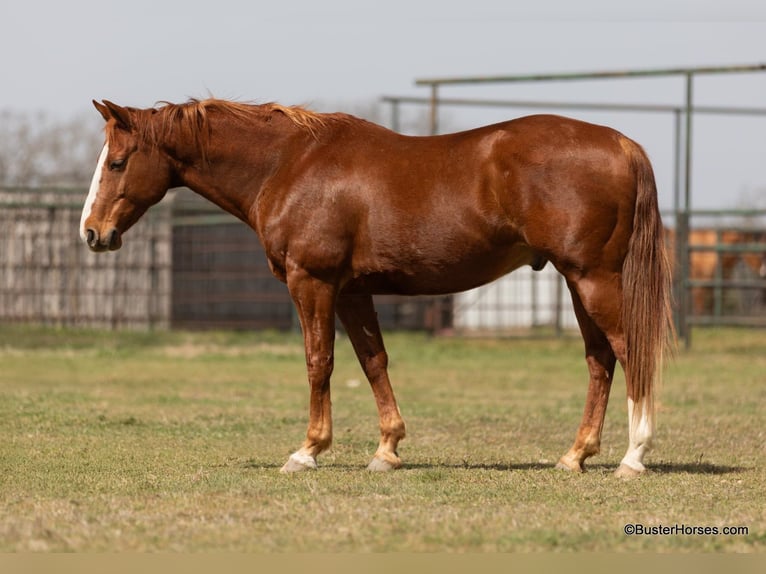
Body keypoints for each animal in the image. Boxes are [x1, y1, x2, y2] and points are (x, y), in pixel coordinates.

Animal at [81, 98, 674, 477]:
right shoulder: (351, 291)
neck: (290, 164)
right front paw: (387, 449)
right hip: (578, 282)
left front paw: (308, 450)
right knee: (600, 359)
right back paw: (576, 455)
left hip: (592, 278)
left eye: (118, 162)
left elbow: (319, 361)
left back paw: (633, 457)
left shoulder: (313, 283)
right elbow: (373, 361)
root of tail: (622, 144)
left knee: (629, 351)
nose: (92, 232)